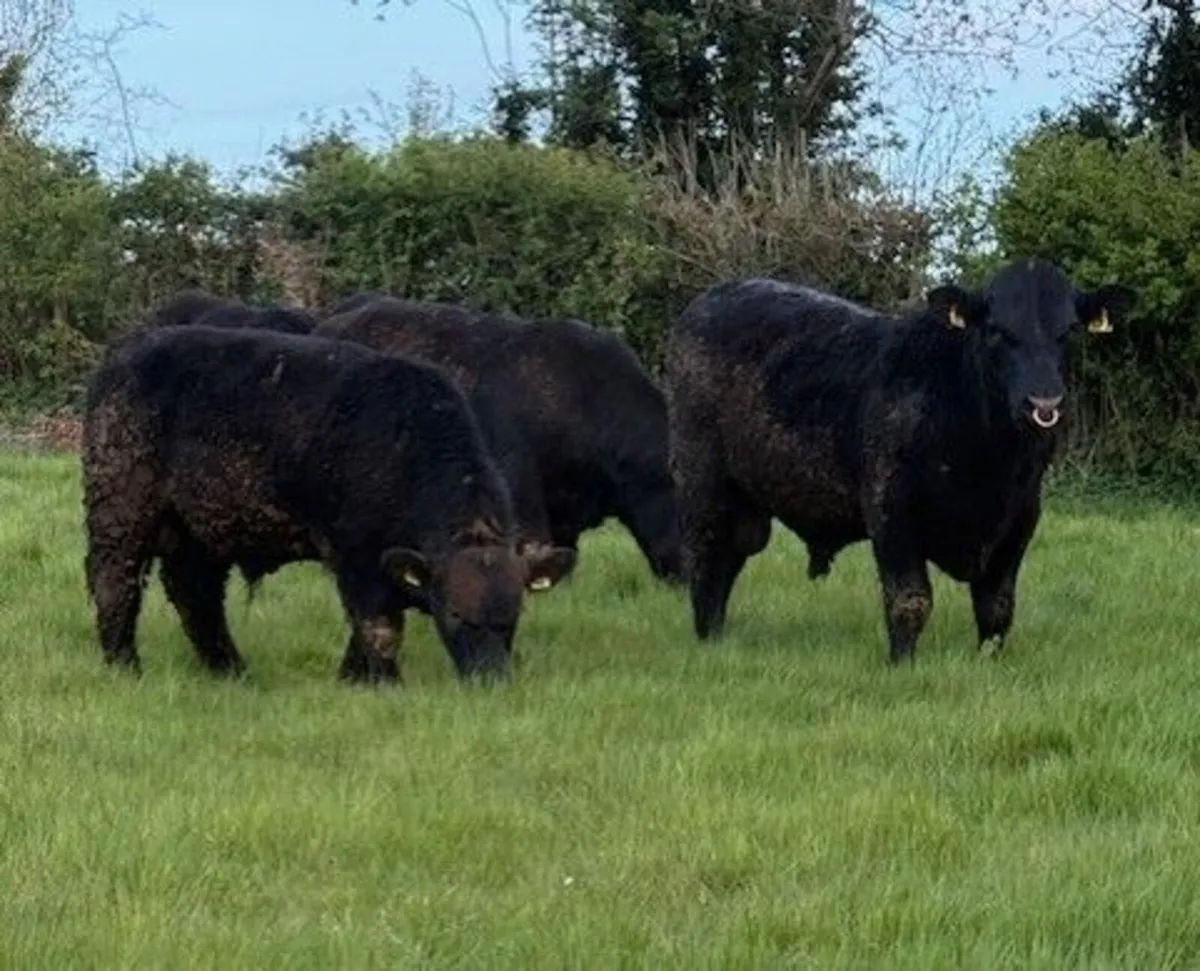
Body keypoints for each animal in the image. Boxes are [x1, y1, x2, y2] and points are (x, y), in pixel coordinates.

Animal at [81, 325, 575, 684]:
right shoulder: (357, 559)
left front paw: (352, 678)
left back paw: (230, 670)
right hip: (121, 511)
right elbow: (379, 629)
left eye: (512, 617)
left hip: (197, 529)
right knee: (116, 582)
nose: (490, 678)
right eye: (455, 613)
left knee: (194, 593)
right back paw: (125, 666)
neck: (405, 442)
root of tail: (128, 349)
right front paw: (385, 681)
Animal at [665, 258, 1136, 663]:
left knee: (729, 559)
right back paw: (707, 638)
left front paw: (987, 662)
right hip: (703, 483)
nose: (1044, 403)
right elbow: (910, 600)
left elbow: (997, 607)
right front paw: (902, 663)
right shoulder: (891, 512)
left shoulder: (1019, 521)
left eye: (1069, 331)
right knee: (706, 557)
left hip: (747, 506)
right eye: (996, 330)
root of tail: (712, 297)